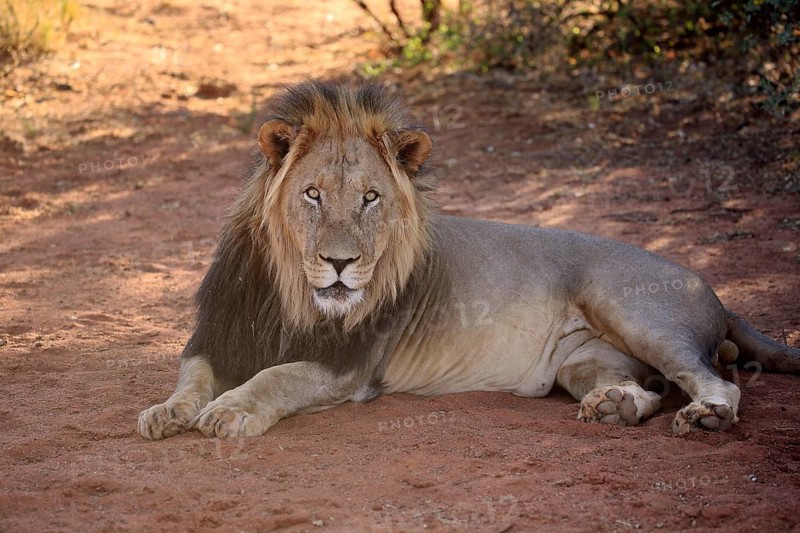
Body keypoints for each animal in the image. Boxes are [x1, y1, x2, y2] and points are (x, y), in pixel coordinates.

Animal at [138, 80, 800, 440]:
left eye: (371, 198)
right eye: (313, 195)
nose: (340, 264)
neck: (289, 290)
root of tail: (707, 283)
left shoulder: (346, 365)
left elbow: (276, 376)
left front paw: (230, 411)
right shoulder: (214, 336)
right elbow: (189, 378)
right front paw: (166, 412)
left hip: (632, 310)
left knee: (717, 381)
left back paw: (707, 416)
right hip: (584, 362)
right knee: (644, 391)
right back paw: (613, 407)